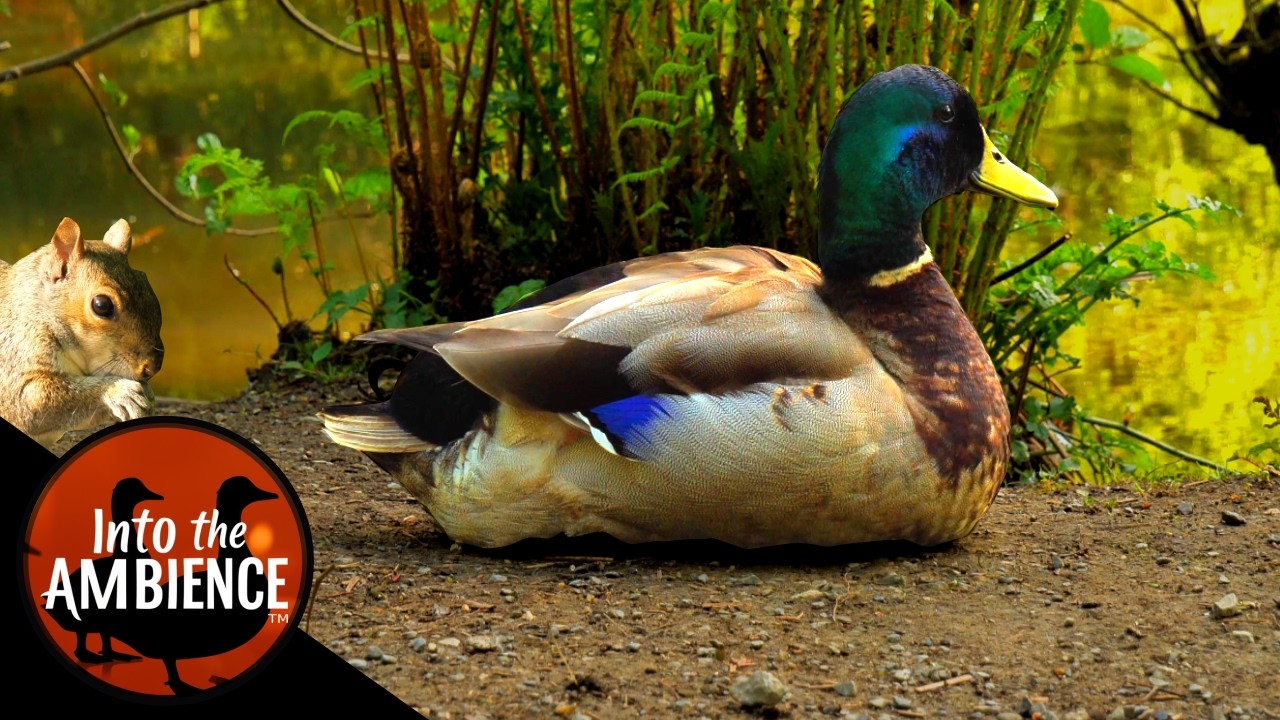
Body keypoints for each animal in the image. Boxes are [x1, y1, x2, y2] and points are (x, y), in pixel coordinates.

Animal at [0, 217, 164, 448]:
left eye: (144, 280)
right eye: (101, 305)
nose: (152, 367)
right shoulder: (14, 352)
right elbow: (31, 399)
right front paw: (119, 392)